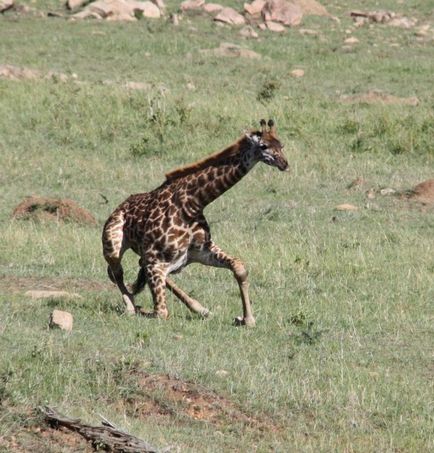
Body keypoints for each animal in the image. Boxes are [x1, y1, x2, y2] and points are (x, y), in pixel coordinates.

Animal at [102, 118, 288, 326]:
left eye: (281, 145)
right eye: (264, 146)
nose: (284, 163)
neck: (193, 203)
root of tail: (118, 207)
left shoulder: (200, 251)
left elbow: (239, 267)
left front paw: (246, 319)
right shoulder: (155, 261)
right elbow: (161, 312)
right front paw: (139, 308)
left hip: (171, 260)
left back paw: (201, 309)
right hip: (113, 246)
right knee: (116, 273)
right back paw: (130, 306)